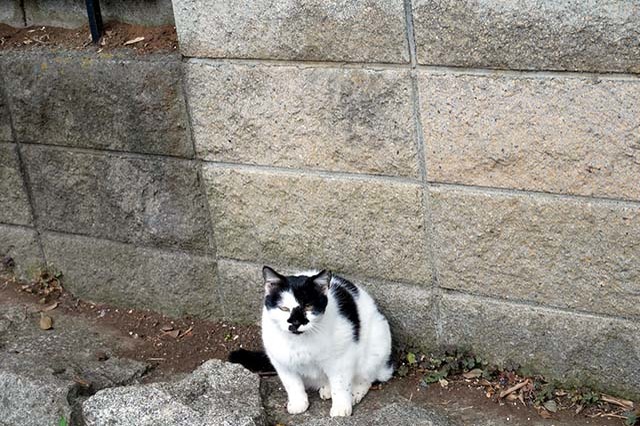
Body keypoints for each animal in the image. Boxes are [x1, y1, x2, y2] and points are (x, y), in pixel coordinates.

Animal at [231, 266, 390, 416]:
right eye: (284, 308)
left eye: (308, 306)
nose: (295, 322)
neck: (300, 342)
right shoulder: (281, 361)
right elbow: (292, 384)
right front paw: (298, 404)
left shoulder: (342, 359)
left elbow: (341, 385)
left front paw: (341, 408)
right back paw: (327, 388)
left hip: (376, 346)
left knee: (366, 378)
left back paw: (354, 392)